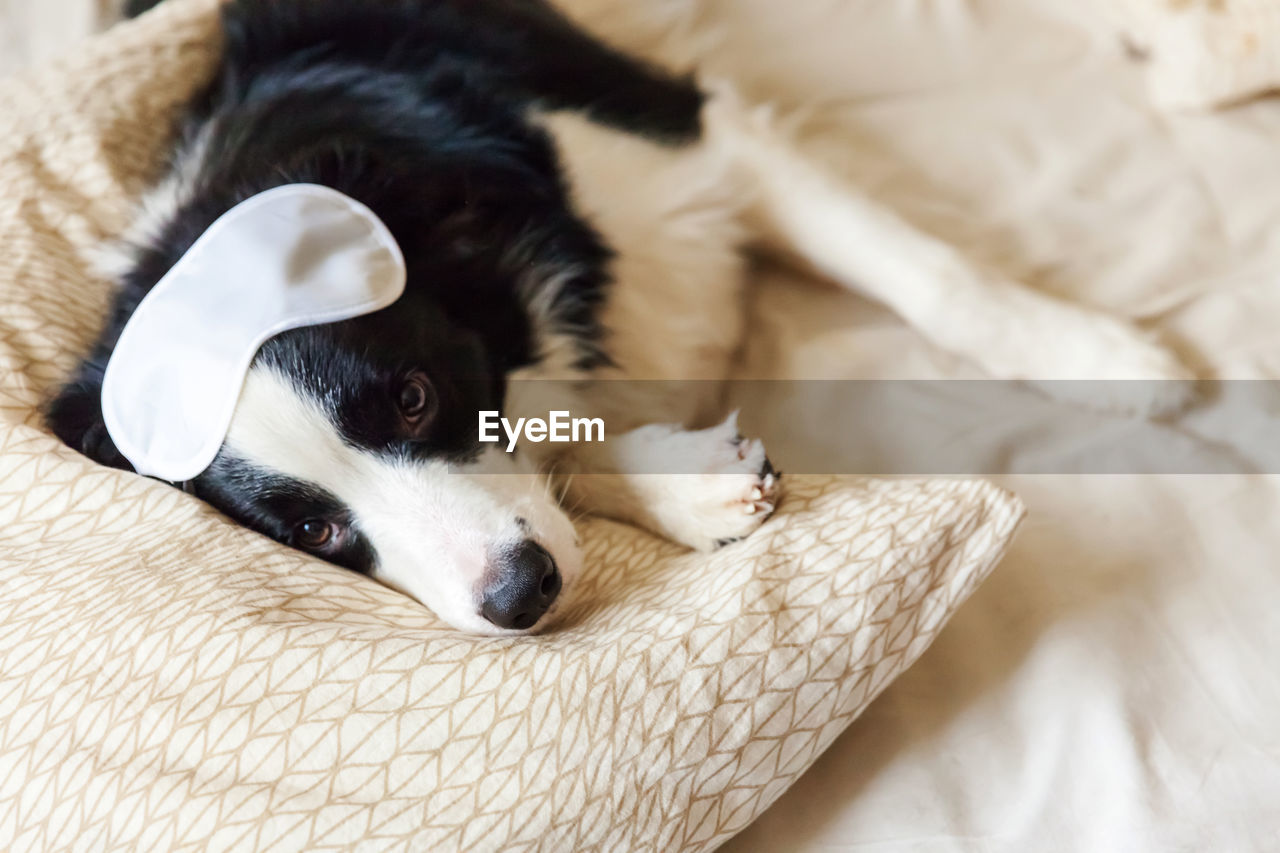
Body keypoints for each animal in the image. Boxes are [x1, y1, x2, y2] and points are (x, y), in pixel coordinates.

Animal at [47, 0, 1187, 630]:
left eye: (413, 396)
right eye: (315, 530)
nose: (520, 597)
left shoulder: (686, 145)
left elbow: (929, 277)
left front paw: (1093, 352)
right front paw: (685, 484)